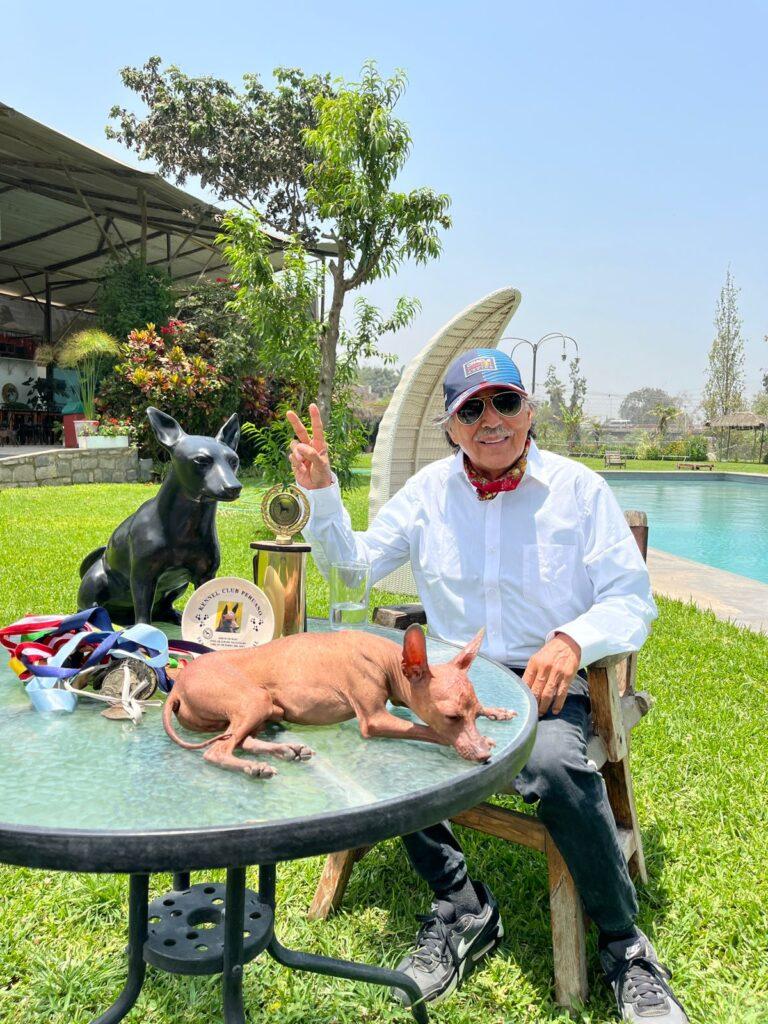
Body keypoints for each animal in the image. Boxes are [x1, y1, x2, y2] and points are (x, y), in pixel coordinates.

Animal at [162, 622, 518, 774]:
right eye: (452, 717)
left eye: (471, 713)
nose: (483, 756)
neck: (386, 658)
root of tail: (176, 686)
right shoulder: (374, 720)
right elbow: (429, 730)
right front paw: (473, 742)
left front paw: (496, 712)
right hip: (253, 701)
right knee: (219, 751)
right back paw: (254, 767)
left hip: (263, 710)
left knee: (241, 740)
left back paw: (285, 750)